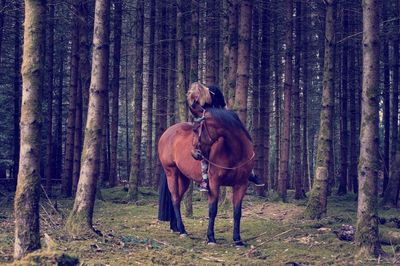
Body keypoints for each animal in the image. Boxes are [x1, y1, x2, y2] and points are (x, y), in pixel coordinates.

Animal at [158, 107, 255, 246]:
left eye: (196, 129)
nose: (194, 154)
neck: (236, 153)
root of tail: (166, 133)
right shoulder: (214, 183)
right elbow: (212, 210)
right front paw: (211, 238)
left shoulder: (241, 184)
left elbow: (237, 212)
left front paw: (237, 239)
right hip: (171, 172)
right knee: (175, 199)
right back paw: (182, 230)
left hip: (184, 178)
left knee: (176, 199)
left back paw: (175, 227)